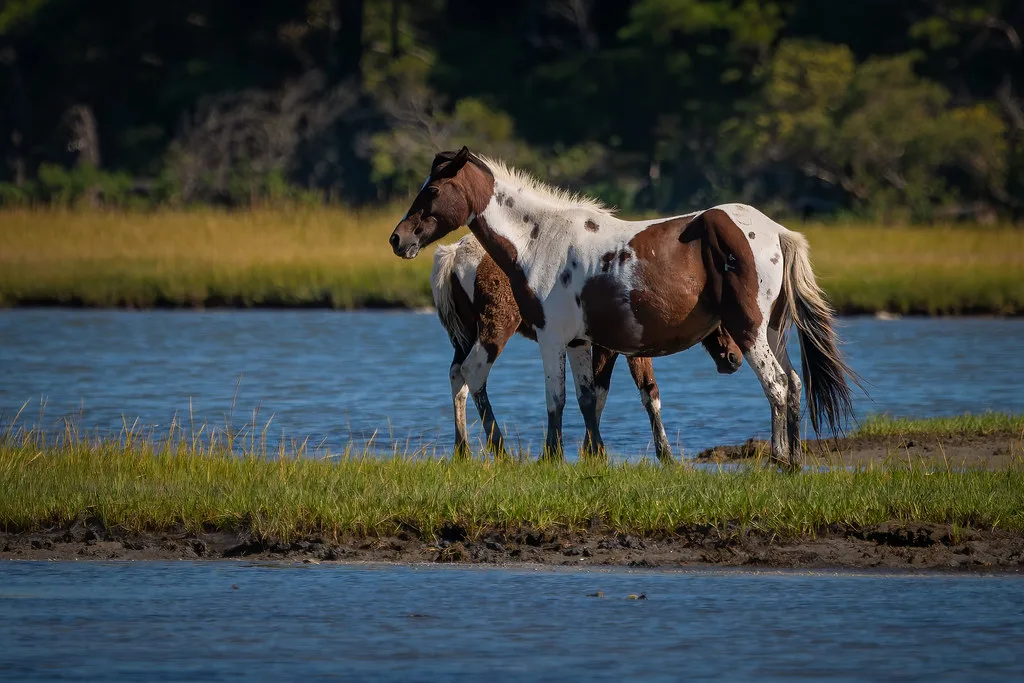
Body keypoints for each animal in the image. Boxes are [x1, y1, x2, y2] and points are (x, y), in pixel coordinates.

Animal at [431, 233, 743, 462]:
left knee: (457, 375)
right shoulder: (609, 347)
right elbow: (602, 393)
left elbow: (644, 393)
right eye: (723, 316)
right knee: (474, 373)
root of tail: (454, 253)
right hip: (496, 326)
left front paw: (663, 454)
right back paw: (500, 450)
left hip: (466, 333)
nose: (734, 359)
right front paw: (594, 451)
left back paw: (462, 449)